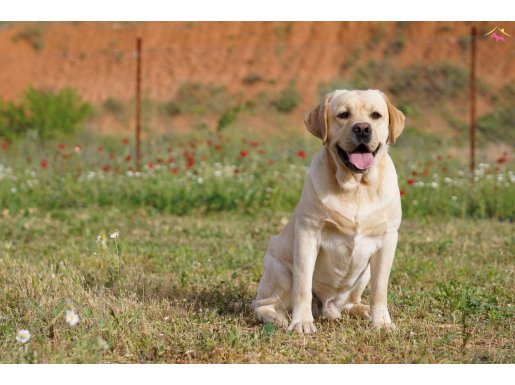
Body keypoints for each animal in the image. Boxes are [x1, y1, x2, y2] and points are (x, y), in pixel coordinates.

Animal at [252, 90, 406, 332]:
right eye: (343, 115)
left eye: (376, 115)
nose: (362, 128)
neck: (357, 187)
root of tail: (327, 306)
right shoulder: (308, 232)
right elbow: (303, 286)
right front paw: (302, 322)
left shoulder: (388, 238)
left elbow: (380, 289)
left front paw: (381, 322)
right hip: (279, 270)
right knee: (261, 304)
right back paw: (278, 318)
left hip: (364, 273)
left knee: (350, 302)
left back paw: (361, 309)